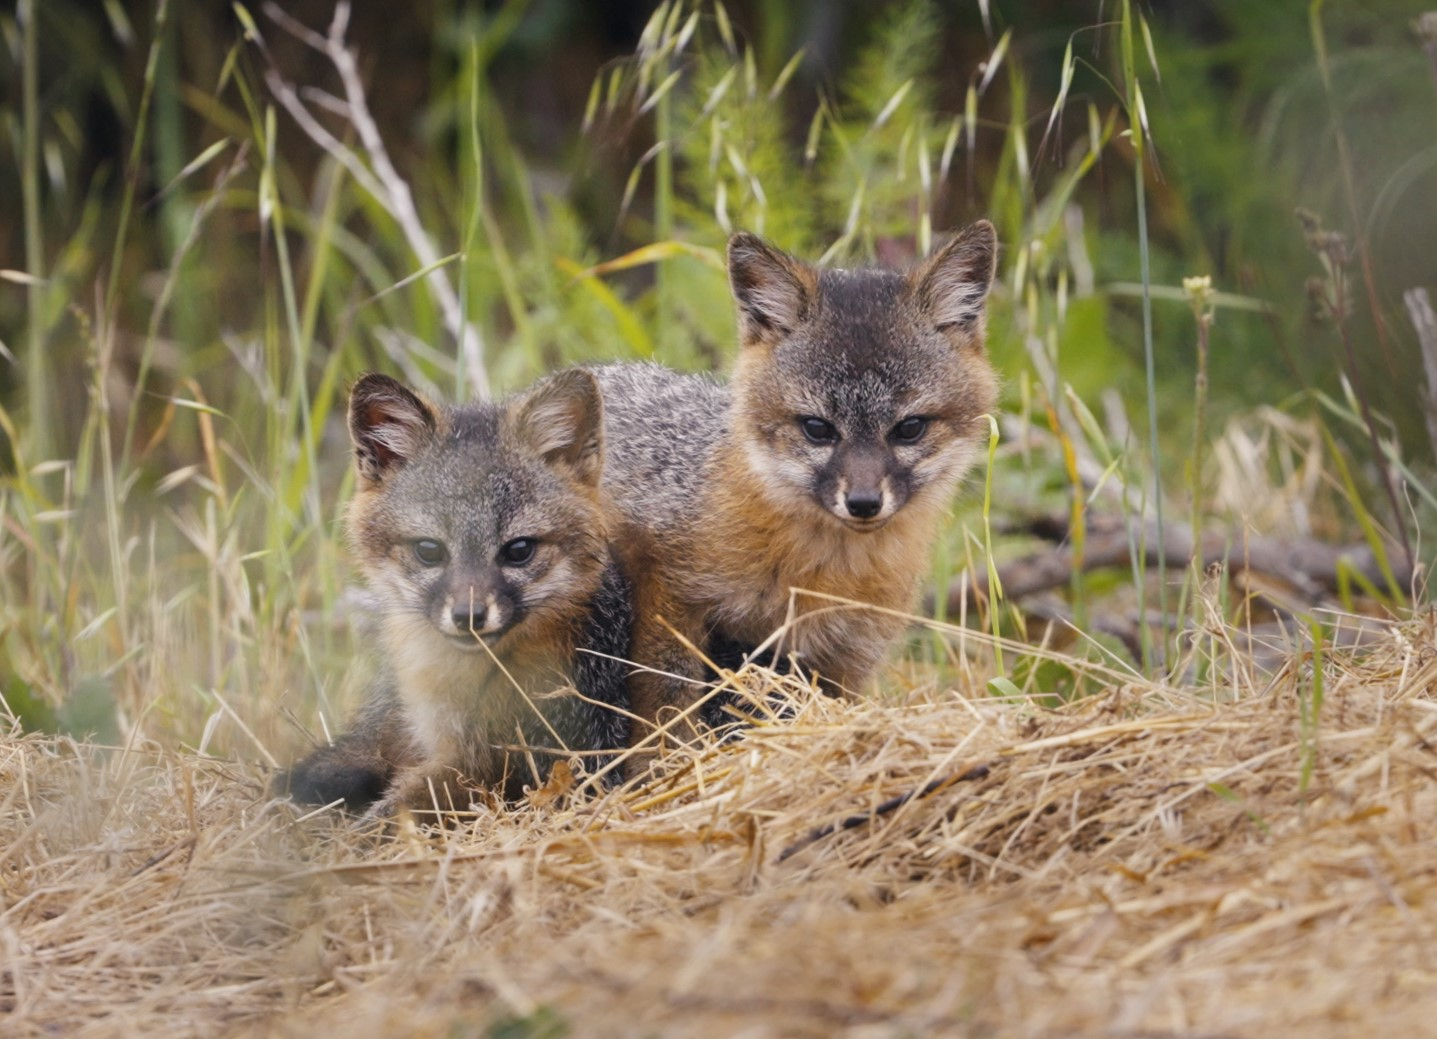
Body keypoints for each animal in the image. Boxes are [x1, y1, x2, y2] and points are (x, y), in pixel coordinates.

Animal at [595, 221, 999, 736]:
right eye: (817, 428)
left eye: (909, 428)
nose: (863, 502)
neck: (823, 574)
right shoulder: (669, 594)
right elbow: (668, 706)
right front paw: (669, 756)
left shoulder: (847, 656)